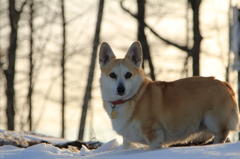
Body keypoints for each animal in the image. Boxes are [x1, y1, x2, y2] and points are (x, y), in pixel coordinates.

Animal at [98, 41, 239, 150]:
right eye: (112, 75)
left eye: (128, 75)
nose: (121, 89)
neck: (130, 99)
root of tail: (225, 83)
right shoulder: (127, 140)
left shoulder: (153, 135)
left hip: (215, 121)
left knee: (221, 135)